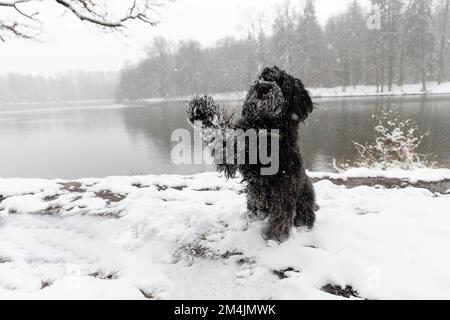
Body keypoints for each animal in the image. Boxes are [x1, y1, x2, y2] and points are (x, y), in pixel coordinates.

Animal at [186, 66, 316, 241]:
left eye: (281, 81)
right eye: (263, 76)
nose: (262, 87)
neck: (265, 128)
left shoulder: (286, 181)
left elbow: (282, 212)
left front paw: (275, 236)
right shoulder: (235, 151)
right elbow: (221, 137)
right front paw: (202, 111)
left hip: (304, 199)